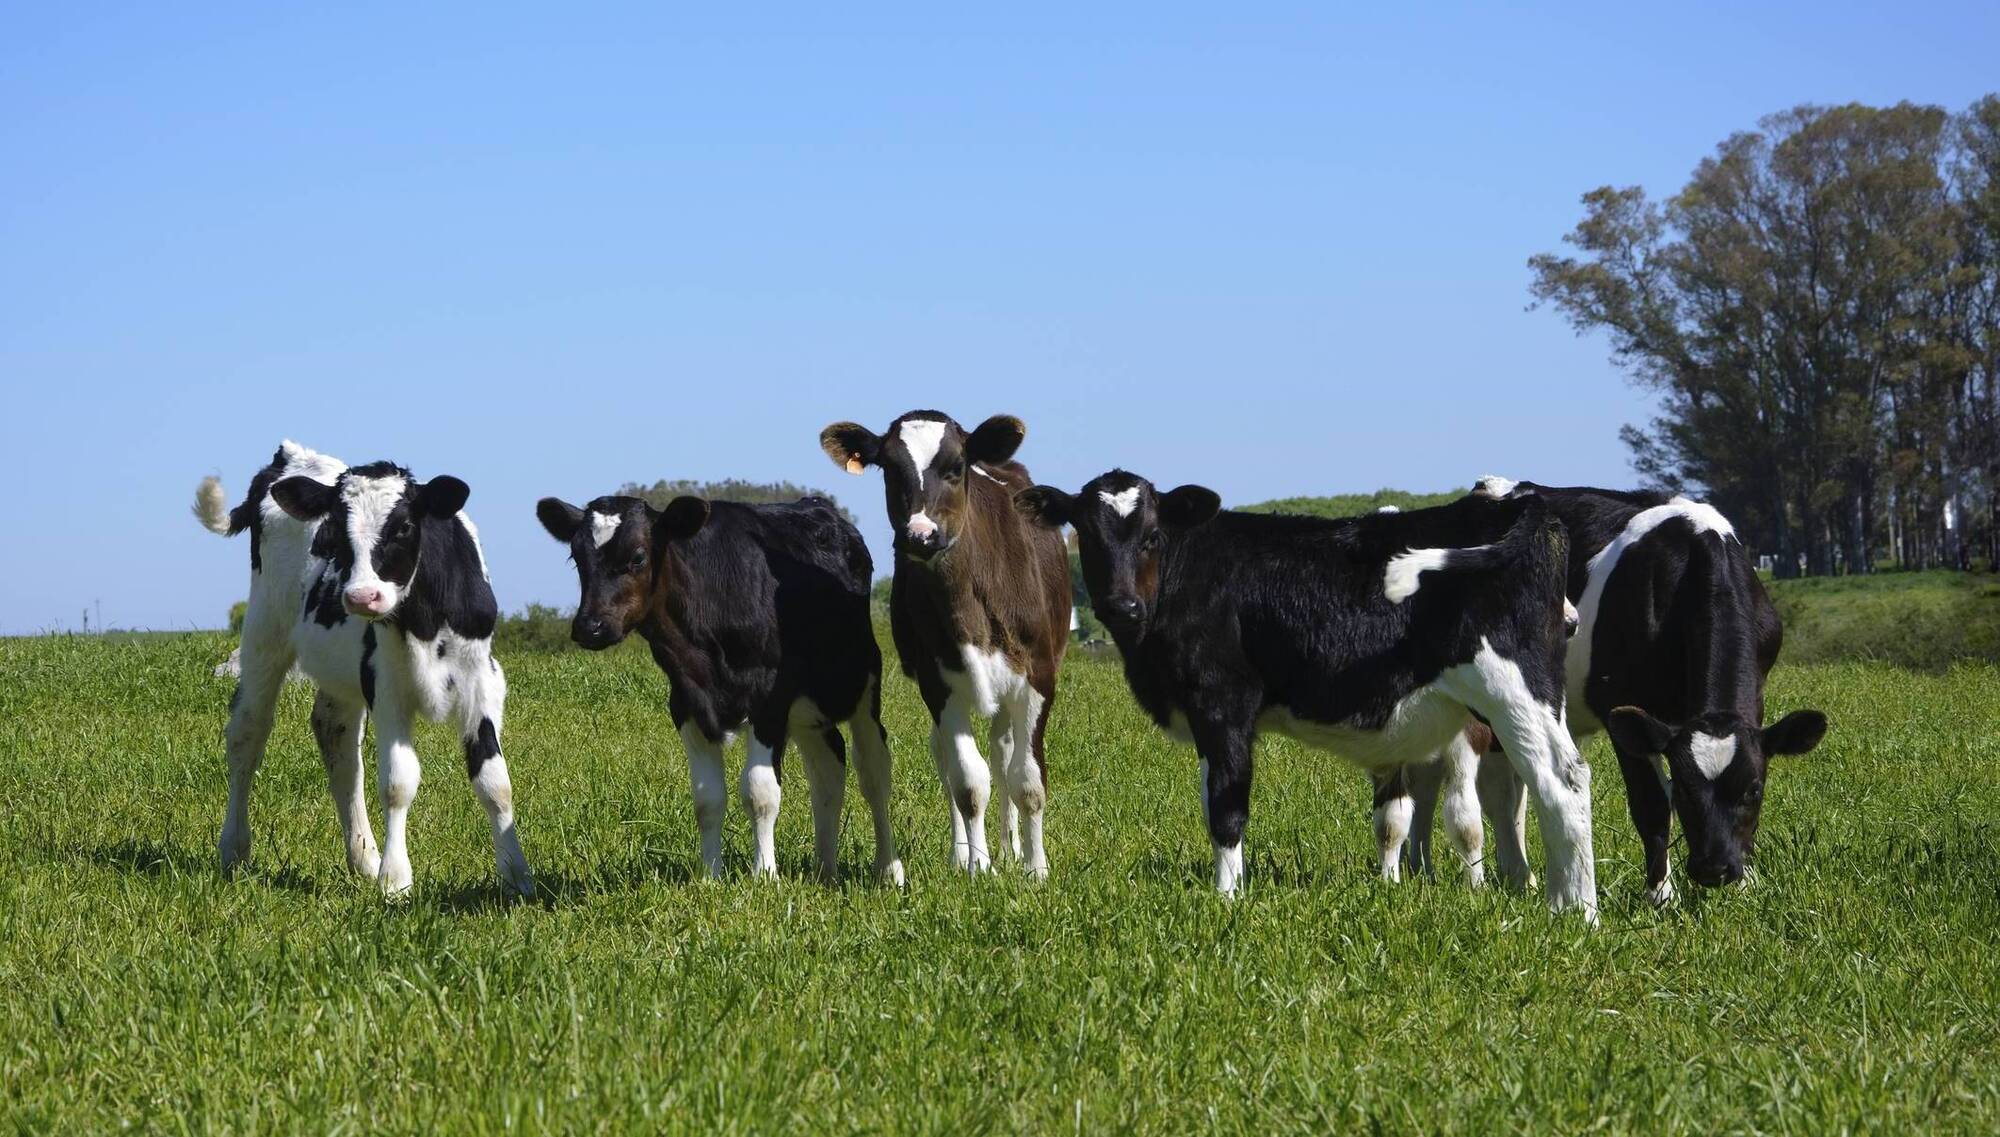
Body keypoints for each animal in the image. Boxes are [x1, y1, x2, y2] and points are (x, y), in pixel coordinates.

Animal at [194, 441, 533, 897]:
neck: (424, 619)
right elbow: (397, 782)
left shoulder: (483, 681)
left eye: (404, 527)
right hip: (264, 633)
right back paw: (234, 849)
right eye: (334, 533)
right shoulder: (386, 685)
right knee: (247, 734)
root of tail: (288, 454)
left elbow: (495, 782)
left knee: (337, 743)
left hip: (339, 673)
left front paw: (517, 876)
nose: (360, 597)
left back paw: (363, 859)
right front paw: (395, 880)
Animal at [535, 491, 903, 885]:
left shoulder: (768, 702)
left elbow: (760, 793)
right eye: (577, 557)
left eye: (637, 557)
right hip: (807, 713)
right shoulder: (686, 704)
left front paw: (764, 876)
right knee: (828, 771)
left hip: (863, 682)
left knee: (874, 773)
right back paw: (824, 871)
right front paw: (710, 877)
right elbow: (707, 799)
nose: (590, 626)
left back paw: (888, 870)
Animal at [818, 411, 1071, 878]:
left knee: (1004, 756)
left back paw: (1011, 847)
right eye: (890, 469)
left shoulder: (1038, 678)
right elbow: (968, 782)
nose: (920, 535)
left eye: (956, 467)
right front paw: (978, 866)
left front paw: (1035, 869)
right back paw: (964, 853)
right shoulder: (938, 682)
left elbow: (1027, 779)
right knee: (948, 760)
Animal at [1014, 470, 1599, 917]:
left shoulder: (1223, 704)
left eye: (1152, 535)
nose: (1121, 606)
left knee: (1562, 781)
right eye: (1087, 535)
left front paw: (1226, 897)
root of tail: (1528, 508)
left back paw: (1576, 911)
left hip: (1512, 690)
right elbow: (1211, 802)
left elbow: (1227, 808)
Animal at [1392, 478, 1828, 905]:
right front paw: (1660, 895)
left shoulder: (1755, 700)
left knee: (1510, 787)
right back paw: (1495, 873)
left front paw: (1746, 883)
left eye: (1754, 789)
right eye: (1684, 789)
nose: (1713, 869)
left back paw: (1514, 877)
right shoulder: (1622, 710)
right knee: (1485, 786)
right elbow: (1651, 805)